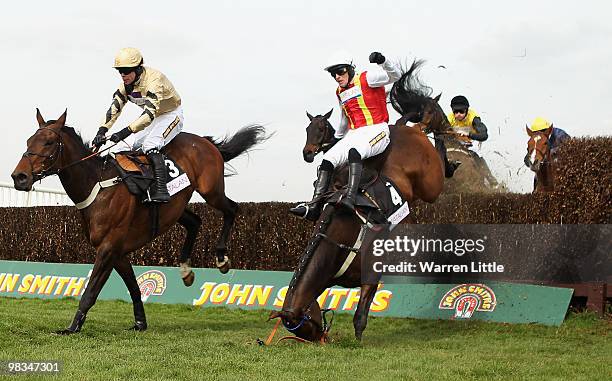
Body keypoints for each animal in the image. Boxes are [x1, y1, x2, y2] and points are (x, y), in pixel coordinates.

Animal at [10, 107, 266, 332]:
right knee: (195, 222)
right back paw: (186, 270)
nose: (19, 177)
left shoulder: (109, 248)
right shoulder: (118, 251)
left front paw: (72, 327)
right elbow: (134, 287)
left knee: (232, 209)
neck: (97, 184)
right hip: (175, 208)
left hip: (211, 190)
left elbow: (91, 291)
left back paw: (222, 258)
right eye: (28, 141)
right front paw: (140, 323)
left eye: (49, 142)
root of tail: (205, 142)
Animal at [272, 60, 450, 342]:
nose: (307, 153)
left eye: (303, 327)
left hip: (431, 183)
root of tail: (403, 128)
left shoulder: (371, 273)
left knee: (432, 147)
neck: (338, 237)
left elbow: (360, 317)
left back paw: (444, 134)